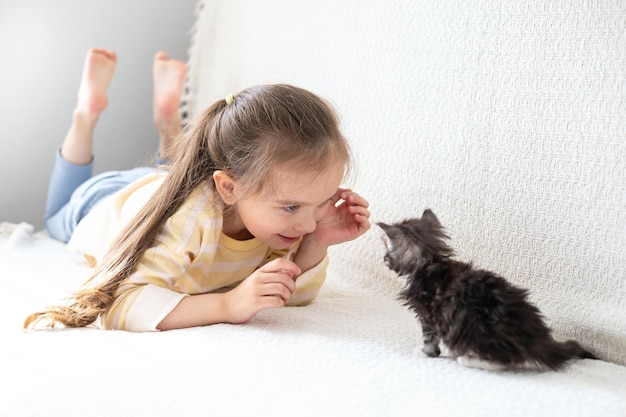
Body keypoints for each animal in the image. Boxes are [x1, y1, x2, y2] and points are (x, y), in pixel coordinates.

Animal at [376, 208, 596, 370]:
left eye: (387, 254)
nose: (384, 260)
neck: (428, 262)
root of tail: (534, 336)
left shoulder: (428, 314)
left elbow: (429, 338)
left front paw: (425, 352)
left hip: (476, 330)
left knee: (504, 361)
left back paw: (469, 359)